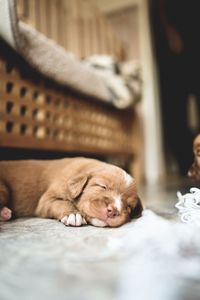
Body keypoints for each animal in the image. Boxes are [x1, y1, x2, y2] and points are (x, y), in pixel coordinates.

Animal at [0, 158, 143, 226]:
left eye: (129, 206)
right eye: (102, 186)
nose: (112, 211)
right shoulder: (46, 200)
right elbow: (60, 203)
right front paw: (73, 215)